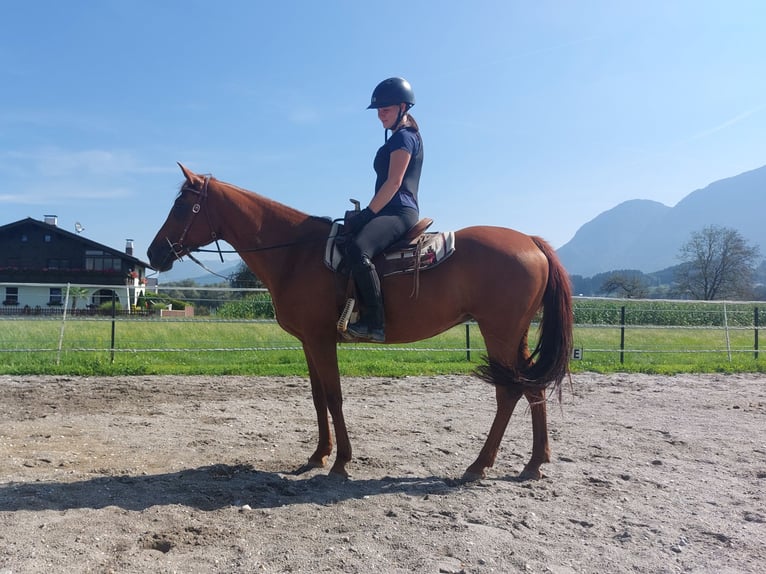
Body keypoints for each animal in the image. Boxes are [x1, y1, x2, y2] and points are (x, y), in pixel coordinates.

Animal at [147, 164, 572, 484]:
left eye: (183, 207)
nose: (154, 253)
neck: (297, 254)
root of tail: (531, 242)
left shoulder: (321, 339)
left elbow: (334, 397)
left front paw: (340, 462)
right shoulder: (309, 341)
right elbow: (318, 397)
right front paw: (318, 455)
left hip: (498, 332)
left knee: (508, 392)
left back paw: (479, 465)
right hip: (514, 335)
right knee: (531, 385)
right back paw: (534, 463)